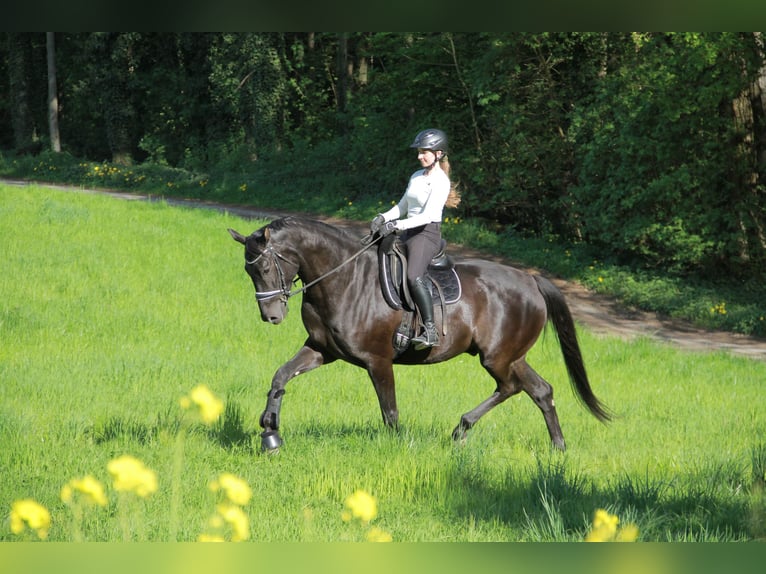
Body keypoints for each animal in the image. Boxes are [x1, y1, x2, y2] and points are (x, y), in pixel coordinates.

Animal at [228, 216, 611, 452]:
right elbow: (281, 376)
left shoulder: (377, 361)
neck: (344, 278)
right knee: (540, 390)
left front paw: (398, 446)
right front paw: (270, 428)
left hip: (498, 357)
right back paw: (557, 447)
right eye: (249, 272)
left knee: (511, 387)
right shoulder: (322, 349)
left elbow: (390, 411)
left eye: (265, 266)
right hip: (512, 356)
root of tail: (531, 280)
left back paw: (461, 428)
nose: (271, 316)